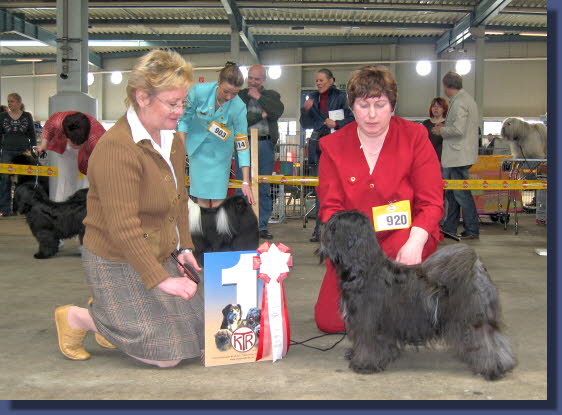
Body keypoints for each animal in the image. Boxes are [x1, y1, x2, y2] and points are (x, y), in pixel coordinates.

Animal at [318, 211, 516, 380]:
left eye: (333, 226)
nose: (321, 225)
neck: (364, 269)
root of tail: (476, 268)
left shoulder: (368, 322)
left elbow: (368, 344)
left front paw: (364, 364)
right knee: (496, 340)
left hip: (471, 320)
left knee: (485, 342)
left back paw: (493, 370)